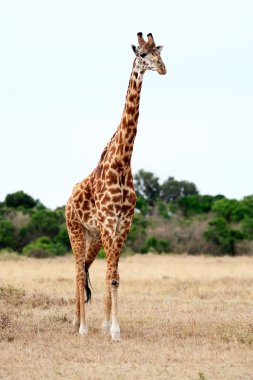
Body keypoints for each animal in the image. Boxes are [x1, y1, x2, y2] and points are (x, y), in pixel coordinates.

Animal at [65, 32, 166, 342]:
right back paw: (81, 327)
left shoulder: (123, 223)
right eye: (142, 55)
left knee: (85, 268)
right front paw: (113, 331)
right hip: (75, 229)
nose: (163, 69)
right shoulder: (110, 221)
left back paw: (78, 321)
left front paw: (108, 326)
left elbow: (115, 276)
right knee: (77, 271)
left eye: (159, 53)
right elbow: (110, 276)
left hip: (93, 235)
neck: (122, 163)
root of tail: (68, 200)